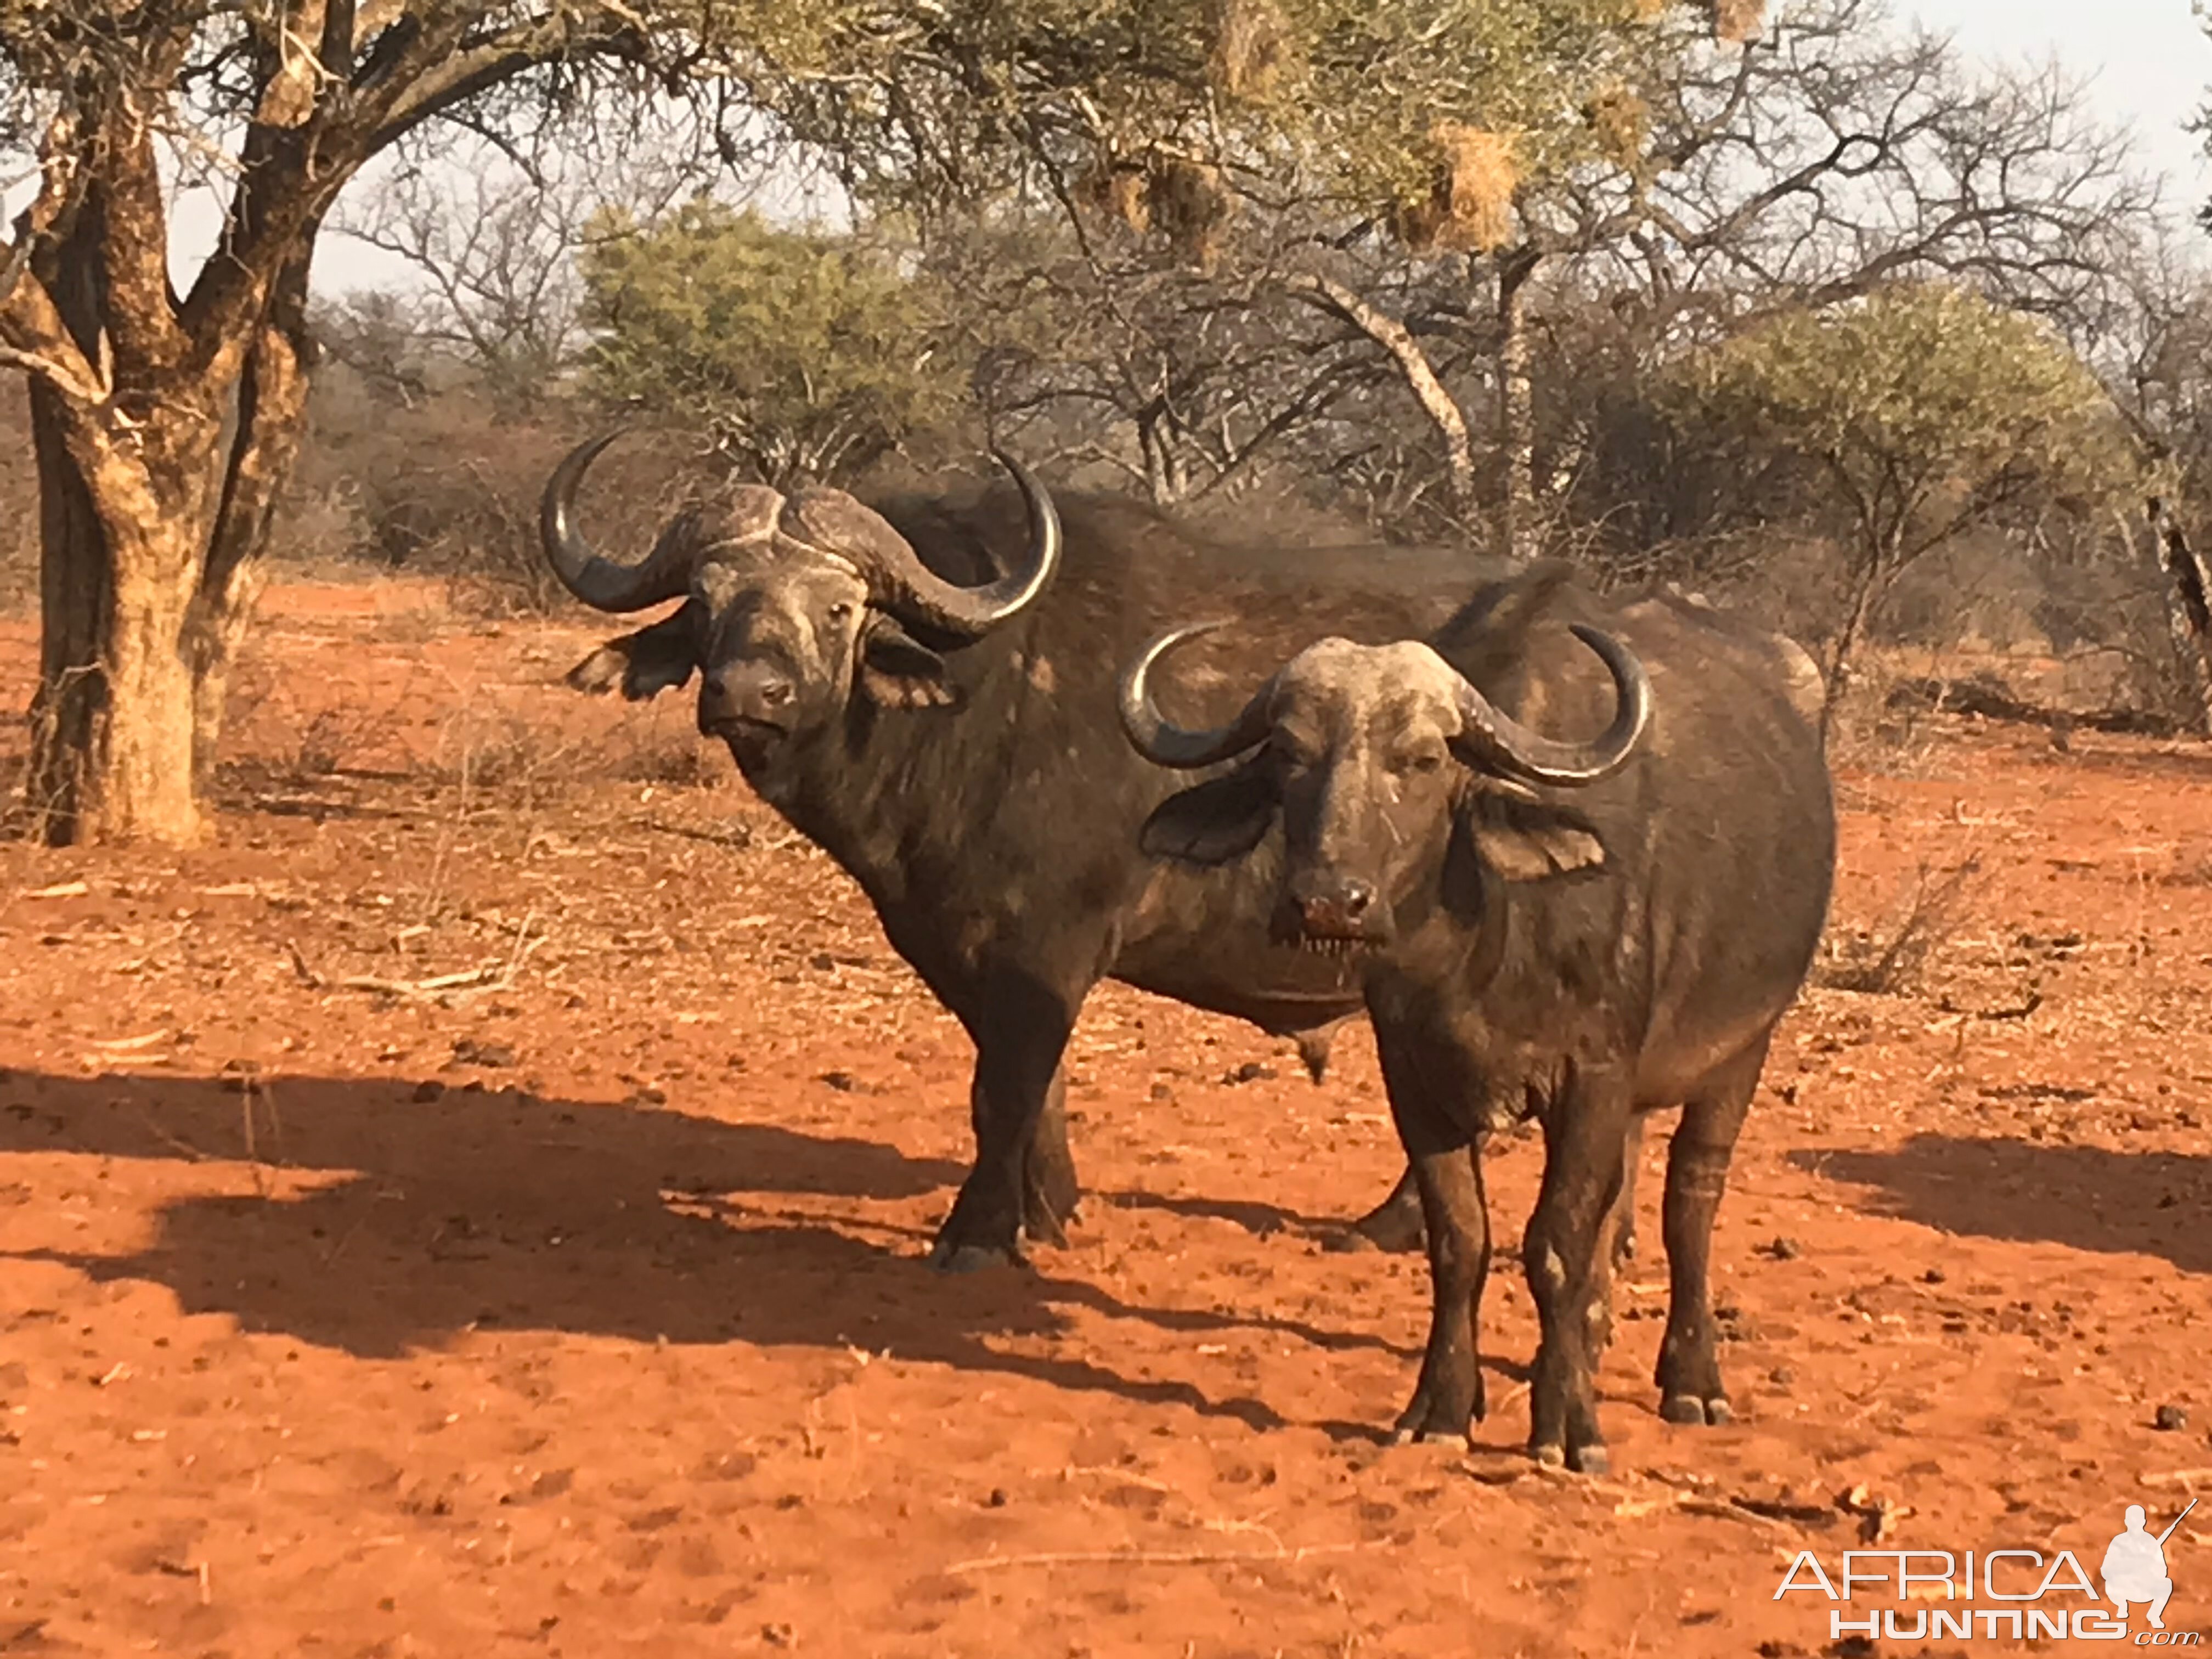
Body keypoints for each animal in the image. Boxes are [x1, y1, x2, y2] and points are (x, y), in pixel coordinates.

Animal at [544, 438, 1531, 1274]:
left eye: (837, 606)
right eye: (706, 603)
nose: (748, 693)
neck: (988, 693)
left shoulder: (1050, 947)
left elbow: (1005, 1088)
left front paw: (979, 1232)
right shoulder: (955, 946)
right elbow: (1033, 1086)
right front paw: (1049, 1207)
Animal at [1124, 571, 1831, 1469]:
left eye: (1423, 760)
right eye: (1288, 754)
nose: (1329, 902)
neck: (1485, 939)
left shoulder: (1593, 1078)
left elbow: (1556, 1243)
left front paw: (1568, 1424)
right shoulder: (1415, 1078)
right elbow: (1462, 1240)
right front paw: (1444, 1404)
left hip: (1743, 1050)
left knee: (1690, 1203)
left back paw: (1692, 1379)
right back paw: (1591, 1337)